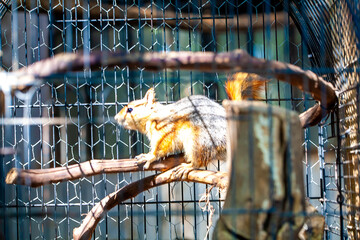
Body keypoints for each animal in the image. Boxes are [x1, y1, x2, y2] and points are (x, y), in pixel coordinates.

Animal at [114, 72, 266, 177]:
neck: (154, 116)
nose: (115, 118)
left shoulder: (165, 130)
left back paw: (188, 166)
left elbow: (161, 147)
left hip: (198, 140)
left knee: (200, 161)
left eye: (130, 109)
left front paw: (149, 156)